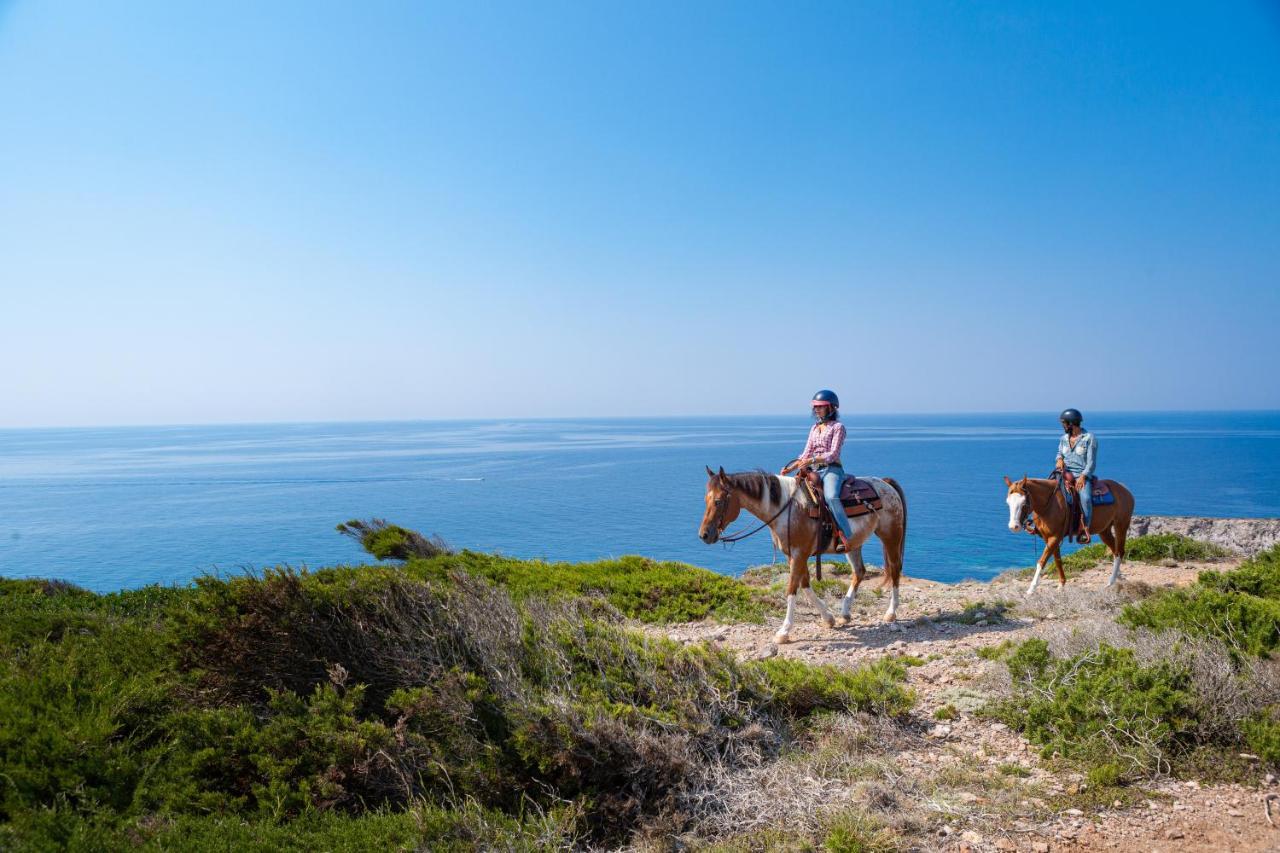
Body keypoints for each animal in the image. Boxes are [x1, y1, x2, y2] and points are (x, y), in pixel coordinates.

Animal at [696, 468, 906, 640]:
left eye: (718, 501)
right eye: (706, 499)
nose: (704, 535)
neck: (787, 509)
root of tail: (885, 483)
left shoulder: (798, 554)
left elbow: (791, 588)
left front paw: (784, 631)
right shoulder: (794, 555)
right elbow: (805, 585)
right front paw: (828, 618)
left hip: (890, 535)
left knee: (895, 569)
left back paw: (891, 612)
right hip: (854, 544)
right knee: (859, 572)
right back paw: (845, 612)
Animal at [1003, 473, 1136, 594]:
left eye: (1024, 503)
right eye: (1008, 502)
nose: (1013, 526)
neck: (1050, 504)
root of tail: (1125, 490)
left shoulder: (1055, 537)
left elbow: (1041, 562)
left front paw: (1031, 588)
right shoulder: (1049, 538)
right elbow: (1057, 560)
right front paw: (1061, 584)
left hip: (1121, 525)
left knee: (1120, 551)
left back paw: (1111, 581)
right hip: (1104, 531)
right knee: (1115, 552)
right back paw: (1118, 577)